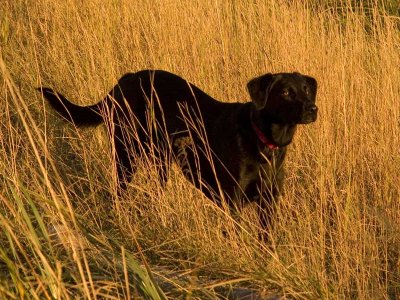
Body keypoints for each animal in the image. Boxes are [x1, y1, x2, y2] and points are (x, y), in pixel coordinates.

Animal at [38, 70, 318, 234]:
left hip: (159, 160)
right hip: (127, 154)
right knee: (119, 191)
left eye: (306, 90)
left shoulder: (269, 202)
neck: (262, 140)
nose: (313, 109)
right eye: (286, 92)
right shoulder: (233, 201)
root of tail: (123, 80)